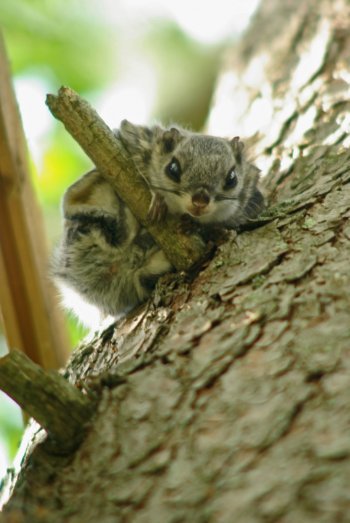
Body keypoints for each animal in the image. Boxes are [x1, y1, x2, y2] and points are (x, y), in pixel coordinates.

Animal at [52, 121, 264, 330]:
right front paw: (157, 198)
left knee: (141, 273)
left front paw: (195, 226)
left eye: (232, 178)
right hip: (88, 203)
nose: (200, 200)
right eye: (173, 168)